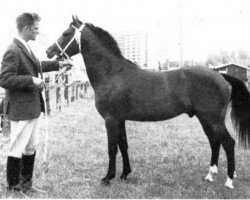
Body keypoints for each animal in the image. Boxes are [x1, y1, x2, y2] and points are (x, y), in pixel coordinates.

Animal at [47, 16, 250, 188]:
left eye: (66, 33)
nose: (48, 51)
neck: (112, 72)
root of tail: (220, 75)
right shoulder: (120, 119)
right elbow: (123, 146)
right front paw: (125, 174)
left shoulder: (111, 120)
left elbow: (112, 148)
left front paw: (108, 177)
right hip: (206, 119)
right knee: (215, 142)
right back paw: (210, 175)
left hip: (212, 119)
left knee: (228, 143)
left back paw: (229, 181)